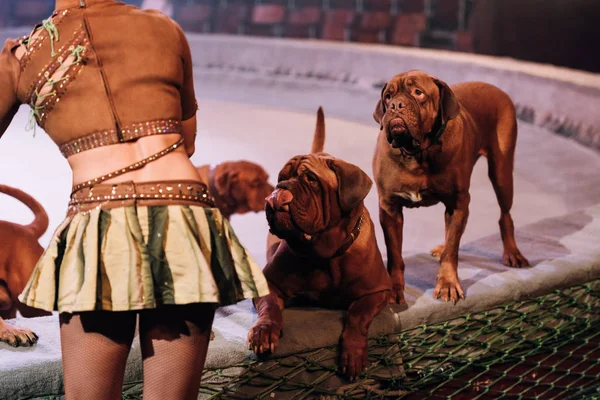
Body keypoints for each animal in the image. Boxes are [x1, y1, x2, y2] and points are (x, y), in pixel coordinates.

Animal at [247, 108, 392, 380]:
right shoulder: (268, 283)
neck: (325, 255)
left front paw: (353, 352)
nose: (280, 189)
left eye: (311, 179)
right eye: (281, 177)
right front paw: (264, 331)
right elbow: (269, 307)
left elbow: (357, 315)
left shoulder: (377, 291)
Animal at [372, 70, 532, 304]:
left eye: (418, 92)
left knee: (505, 215)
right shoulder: (389, 207)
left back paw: (512, 253)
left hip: (501, 173)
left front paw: (448, 284)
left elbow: (452, 251)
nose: (395, 106)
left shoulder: (458, 202)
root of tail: (495, 88)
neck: (418, 153)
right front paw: (394, 289)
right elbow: (394, 254)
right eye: (388, 97)